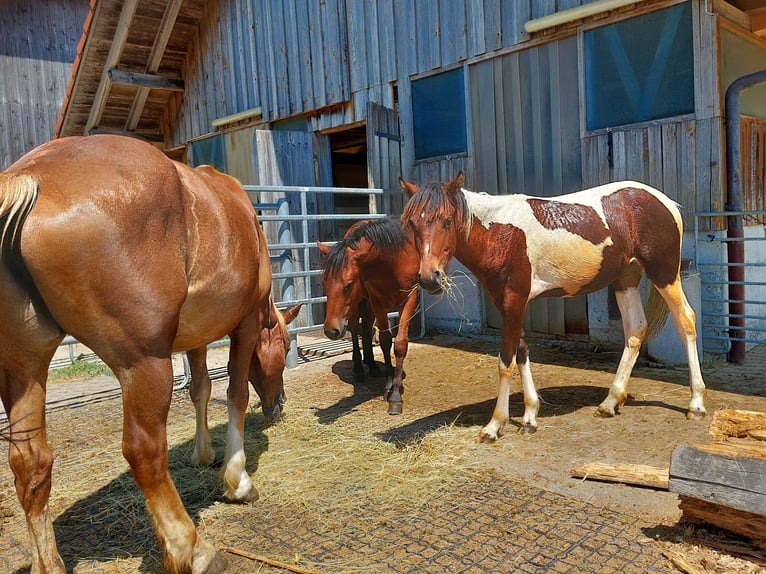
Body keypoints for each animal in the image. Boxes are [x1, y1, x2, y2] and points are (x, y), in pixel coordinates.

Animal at [0, 134, 287, 573]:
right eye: (284, 350)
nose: (279, 405)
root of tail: (29, 176)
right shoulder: (247, 324)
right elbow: (234, 395)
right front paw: (236, 480)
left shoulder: (195, 337)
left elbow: (201, 389)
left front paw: (203, 453)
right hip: (144, 364)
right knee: (143, 452)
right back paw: (192, 549)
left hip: (22, 365)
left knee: (29, 463)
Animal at [318, 217, 420, 414]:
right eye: (324, 282)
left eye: (348, 284)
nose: (330, 330)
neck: (392, 263)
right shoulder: (377, 300)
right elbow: (386, 340)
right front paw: (389, 386)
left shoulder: (410, 299)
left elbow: (400, 343)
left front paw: (396, 393)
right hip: (358, 303)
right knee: (355, 328)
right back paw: (359, 367)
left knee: (365, 327)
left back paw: (372, 364)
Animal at [400, 172, 706, 442]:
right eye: (413, 224)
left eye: (447, 221)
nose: (429, 278)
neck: (498, 233)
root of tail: (667, 203)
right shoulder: (510, 304)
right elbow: (522, 354)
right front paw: (529, 418)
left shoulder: (513, 301)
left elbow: (505, 361)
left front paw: (494, 426)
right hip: (626, 278)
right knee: (635, 330)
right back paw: (610, 402)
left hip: (664, 272)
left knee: (686, 321)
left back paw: (696, 404)